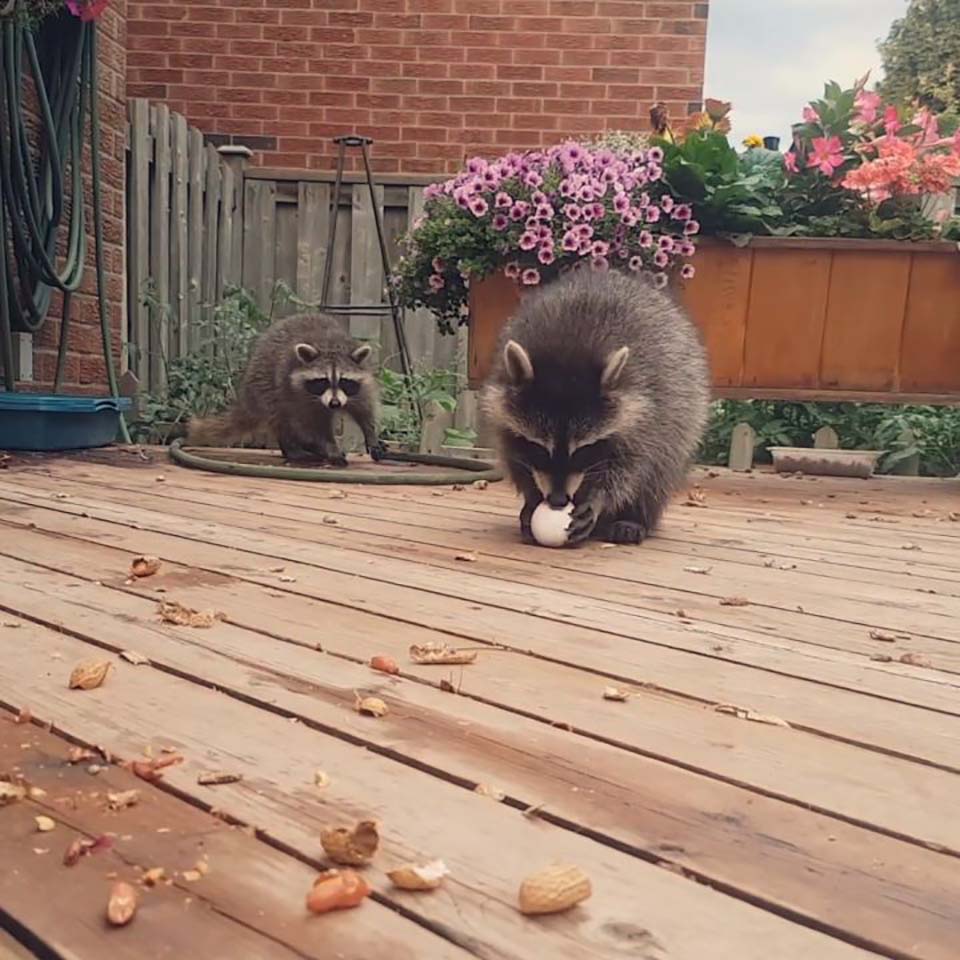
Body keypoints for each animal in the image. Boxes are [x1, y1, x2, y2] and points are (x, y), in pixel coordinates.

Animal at [186, 314, 380, 466]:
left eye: (344, 381)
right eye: (322, 381)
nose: (334, 404)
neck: (332, 345)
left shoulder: (360, 385)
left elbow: (364, 410)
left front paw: (371, 435)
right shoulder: (299, 394)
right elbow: (315, 425)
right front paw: (330, 447)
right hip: (267, 386)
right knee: (283, 418)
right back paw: (293, 449)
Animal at [480, 266, 712, 544]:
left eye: (582, 450)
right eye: (539, 448)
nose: (558, 500)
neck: (568, 348)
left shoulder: (646, 409)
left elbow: (631, 466)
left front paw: (598, 497)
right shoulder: (502, 409)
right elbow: (514, 456)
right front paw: (531, 494)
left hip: (684, 403)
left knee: (660, 468)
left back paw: (636, 517)